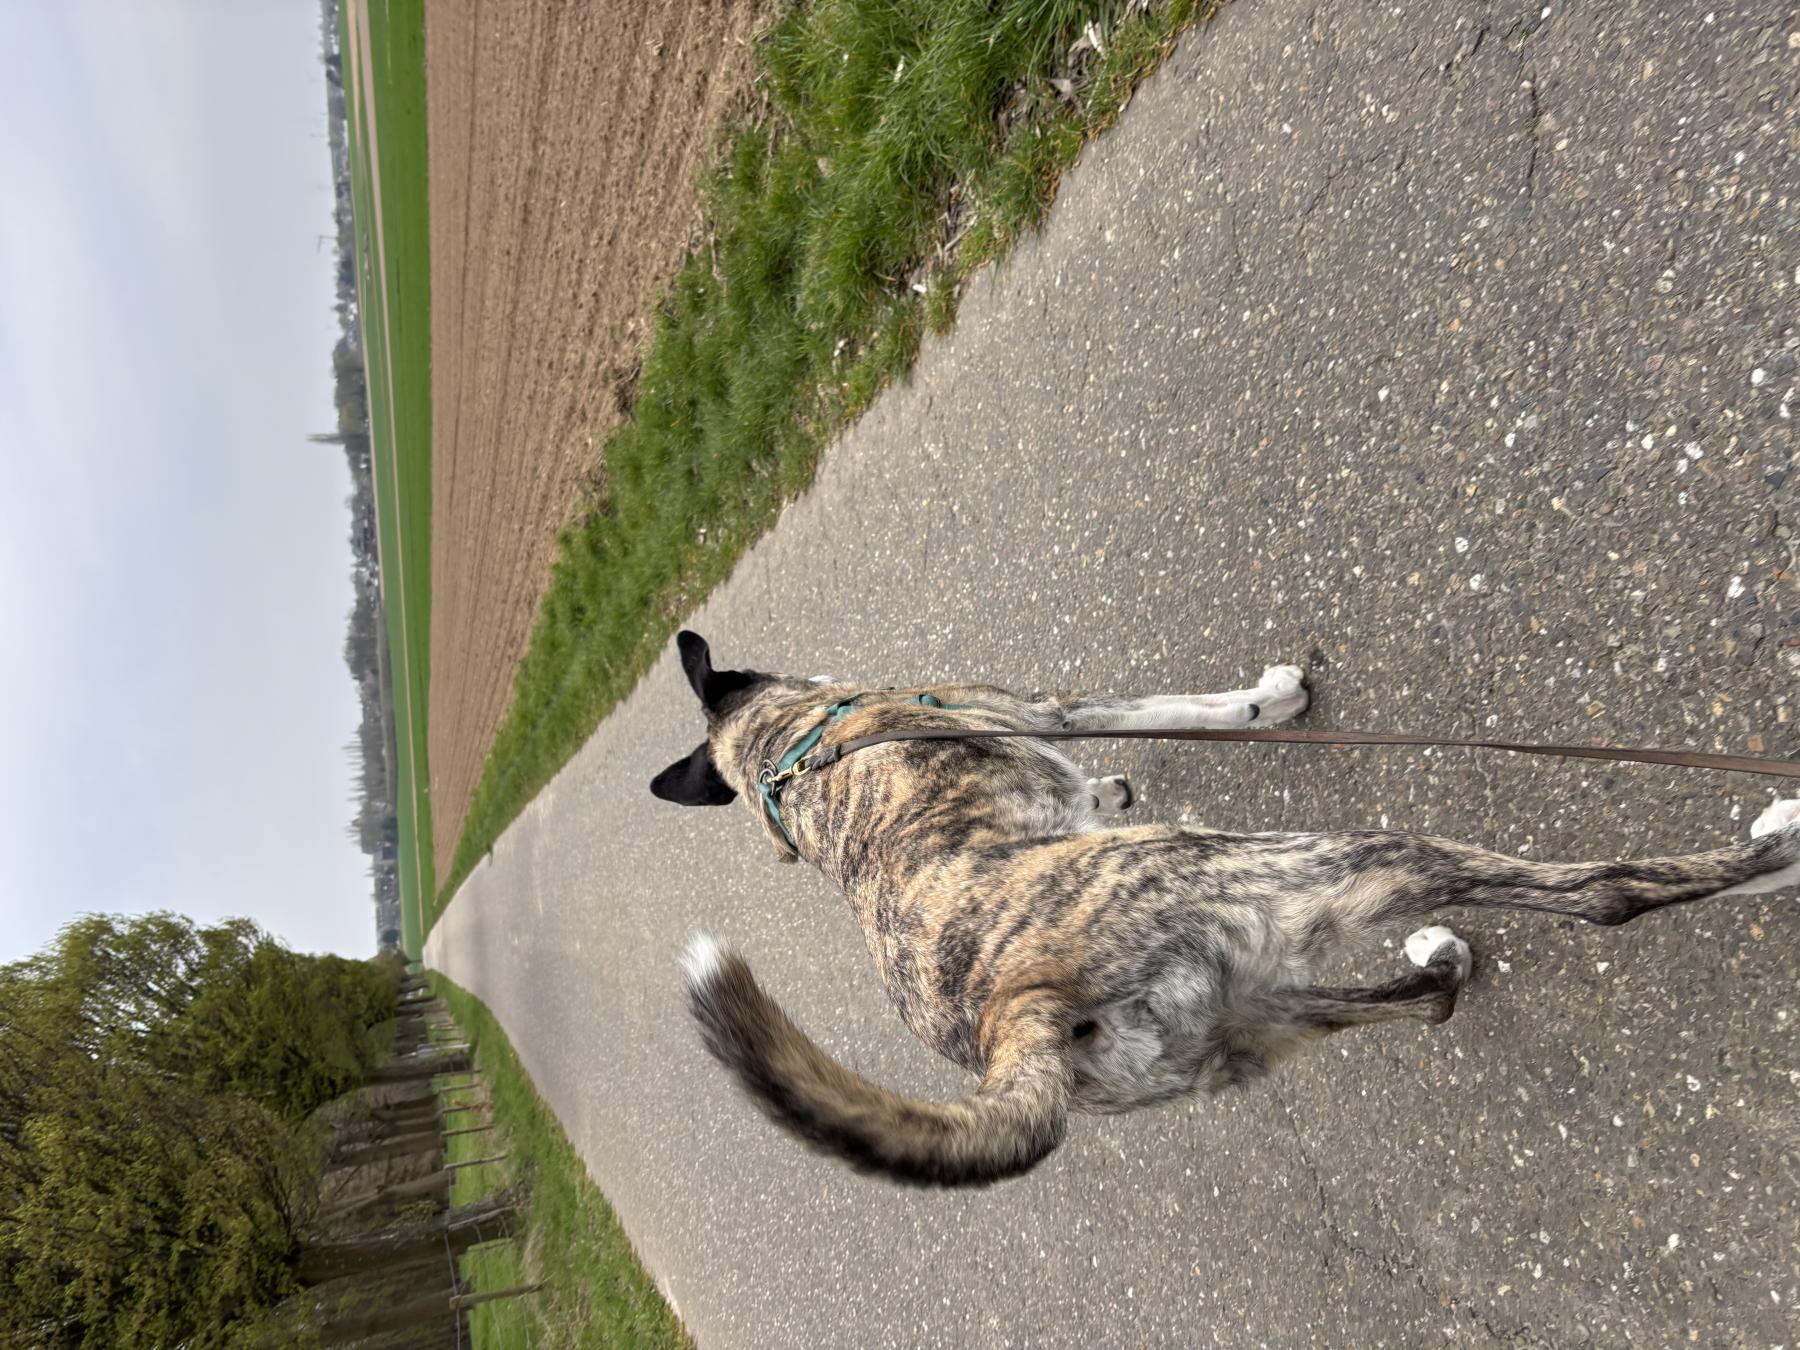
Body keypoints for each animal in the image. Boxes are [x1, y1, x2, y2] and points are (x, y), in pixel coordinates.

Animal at [650, 631, 1800, 1187]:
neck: (785, 750)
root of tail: (1015, 1018)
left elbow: (1096, 780)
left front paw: (1112, 790)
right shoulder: (1050, 712)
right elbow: (1166, 707)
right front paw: (1270, 699)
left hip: (1249, 1014)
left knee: (1418, 1001)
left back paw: (1443, 963)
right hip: (1321, 867)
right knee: (1604, 895)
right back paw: (1778, 840)